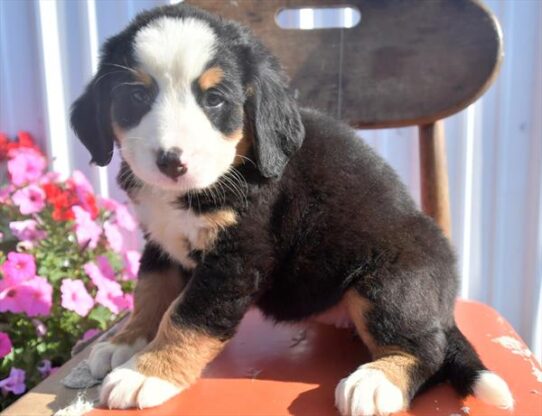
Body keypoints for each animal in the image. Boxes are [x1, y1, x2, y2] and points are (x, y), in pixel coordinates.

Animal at [71, 4, 516, 416]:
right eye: (137, 96)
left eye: (214, 100)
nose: (171, 161)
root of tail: (444, 302)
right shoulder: (161, 241)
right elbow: (150, 292)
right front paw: (125, 341)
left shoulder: (236, 258)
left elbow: (187, 316)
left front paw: (147, 372)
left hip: (391, 281)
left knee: (428, 348)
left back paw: (377, 381)